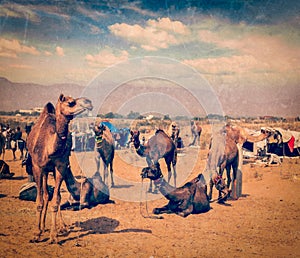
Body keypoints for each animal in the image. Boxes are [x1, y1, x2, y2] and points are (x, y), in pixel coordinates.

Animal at [26, 93, 92, 243]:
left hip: (53, 170)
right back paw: (42, 227)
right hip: (44, 170)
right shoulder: (37, 167)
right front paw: (36, 233)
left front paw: (54, 236)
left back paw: (61, 227)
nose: (89, 102)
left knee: (55, 195)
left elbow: (56, 199)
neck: (49, 147)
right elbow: (39, 200)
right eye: (71, 103)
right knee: (45, 195)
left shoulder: (60, 167)